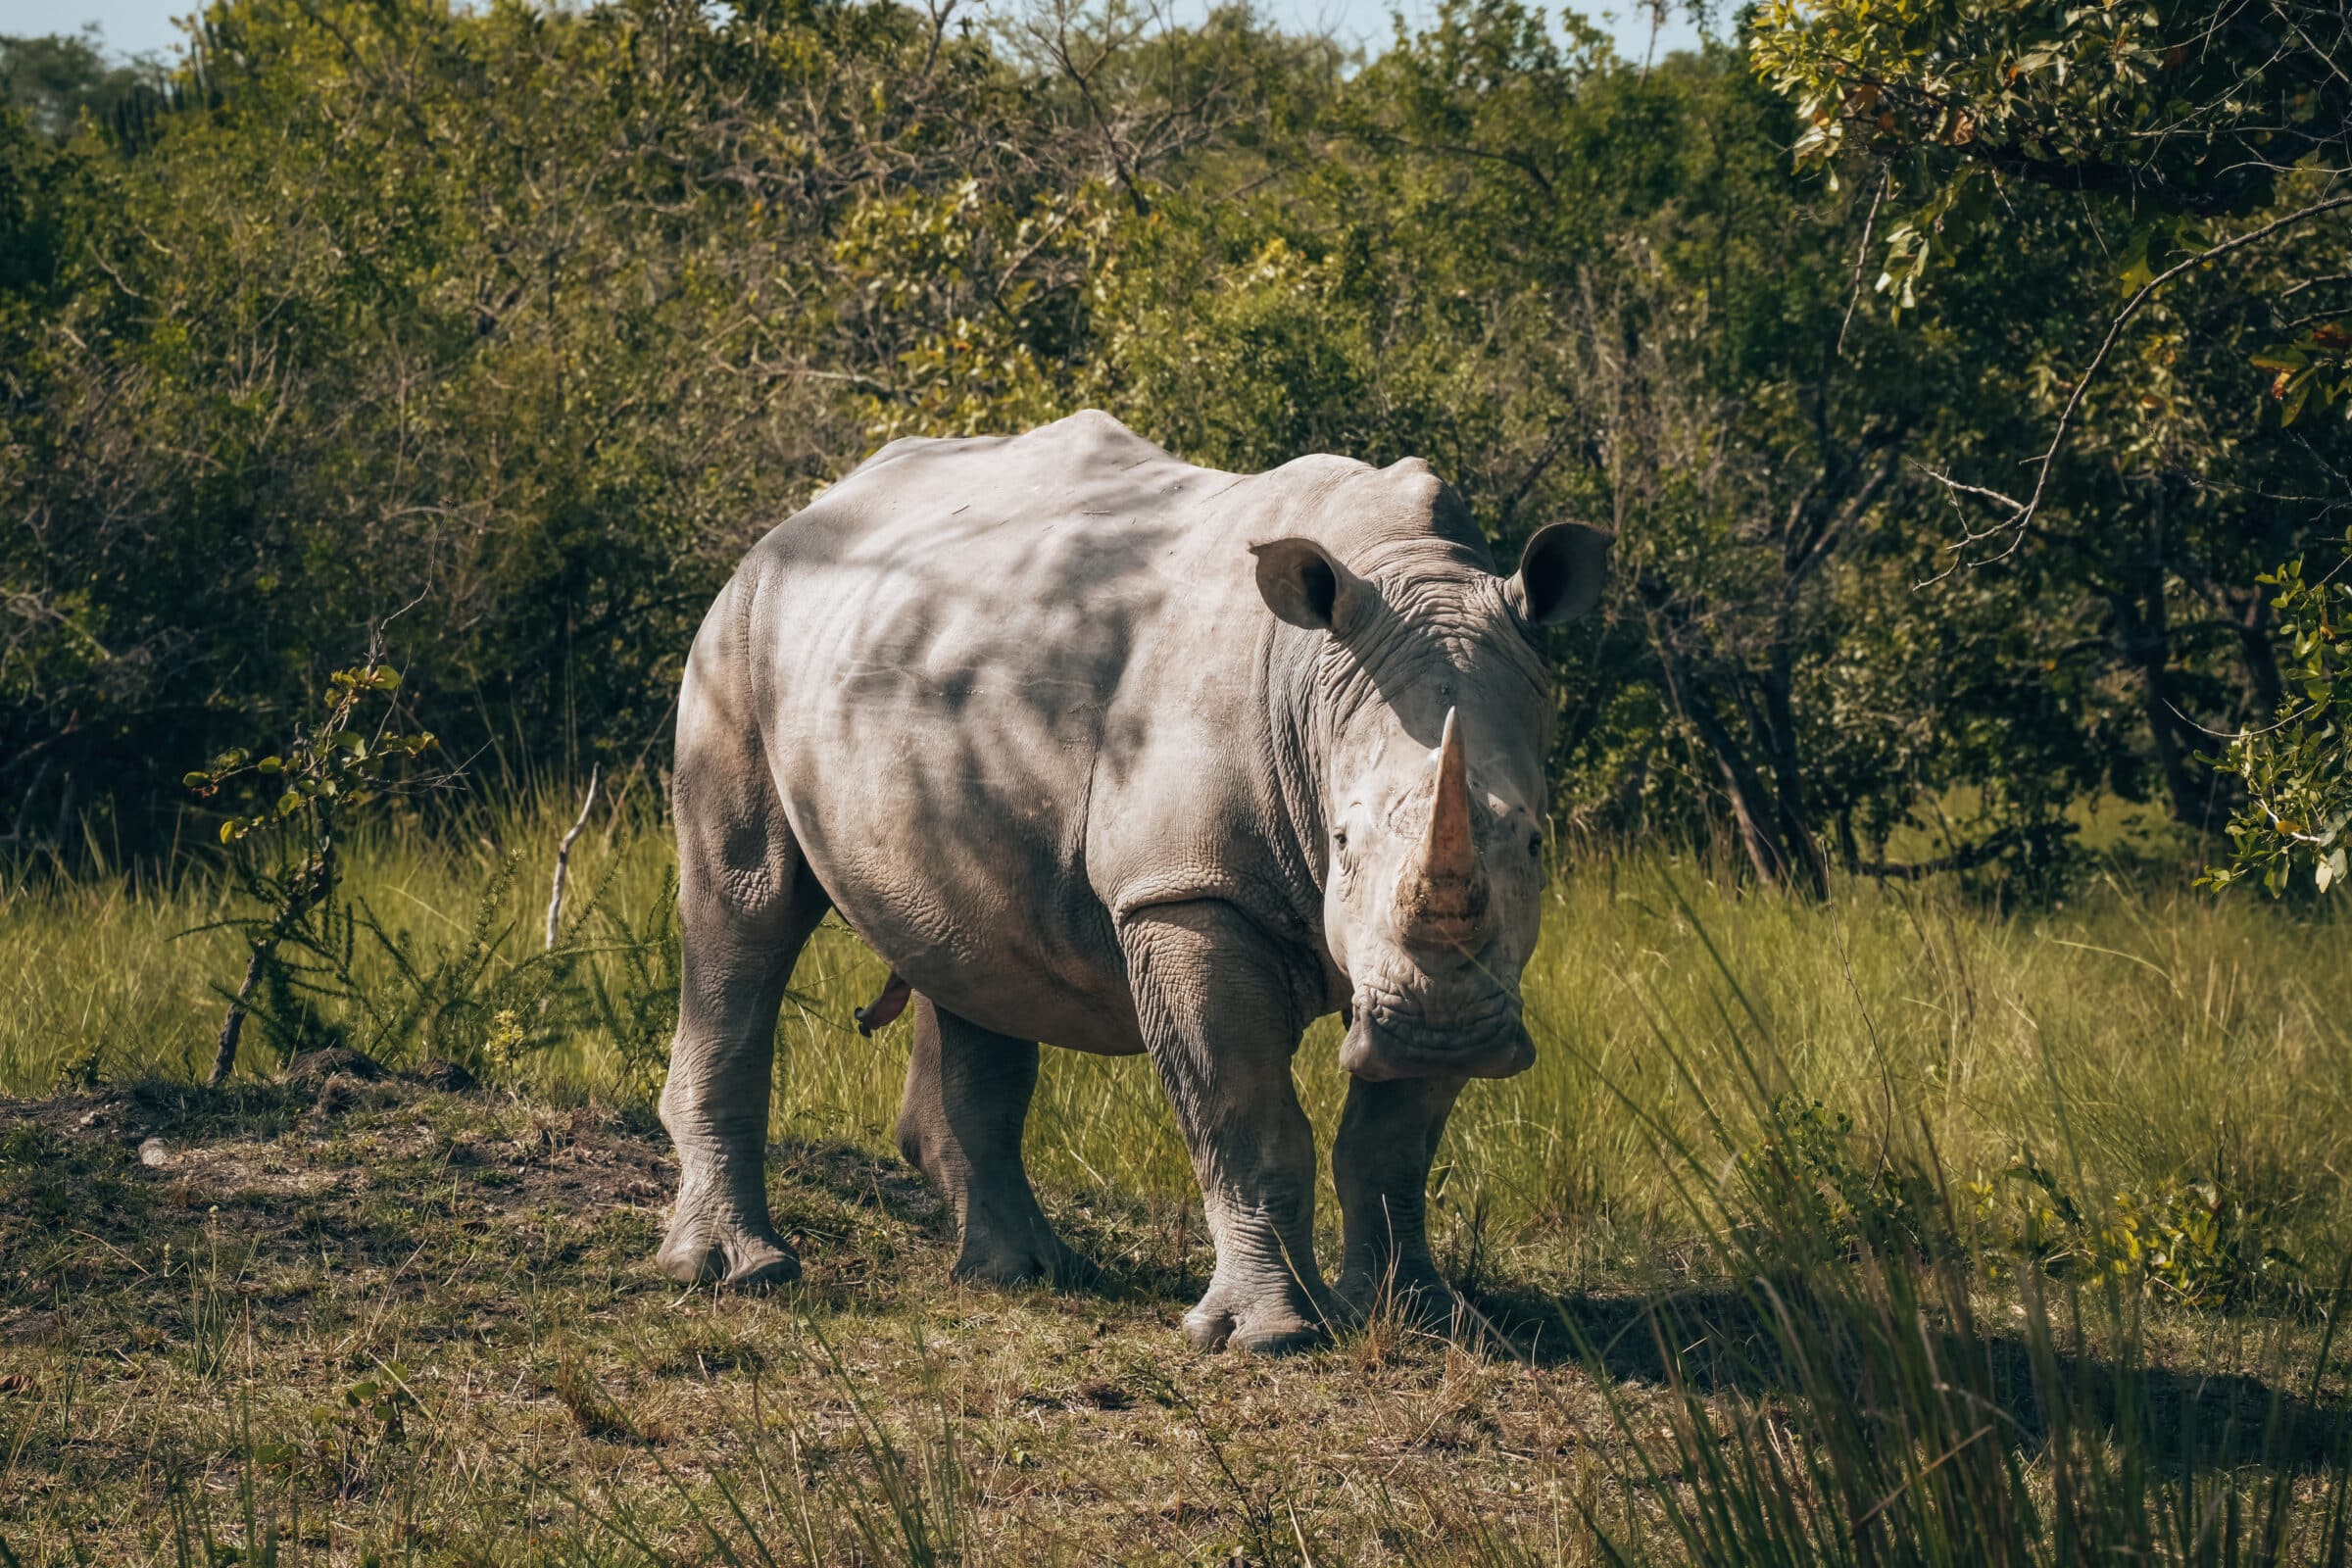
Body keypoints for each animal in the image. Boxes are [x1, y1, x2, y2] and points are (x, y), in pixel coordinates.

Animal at [667, 414, 1618, 1353]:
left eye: (1534, 842)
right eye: (1341, 842)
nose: (1437, 1035)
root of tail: (796, 518)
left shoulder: (1449, 970)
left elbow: (1394, 1144)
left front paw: (1425, 1319)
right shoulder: (1188, 889)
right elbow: (1245, 1115)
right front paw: (1265, 1337)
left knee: (969, 953)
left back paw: (1026, 1273)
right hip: (737, 633)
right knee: (746, 910)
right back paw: (738, 1272)